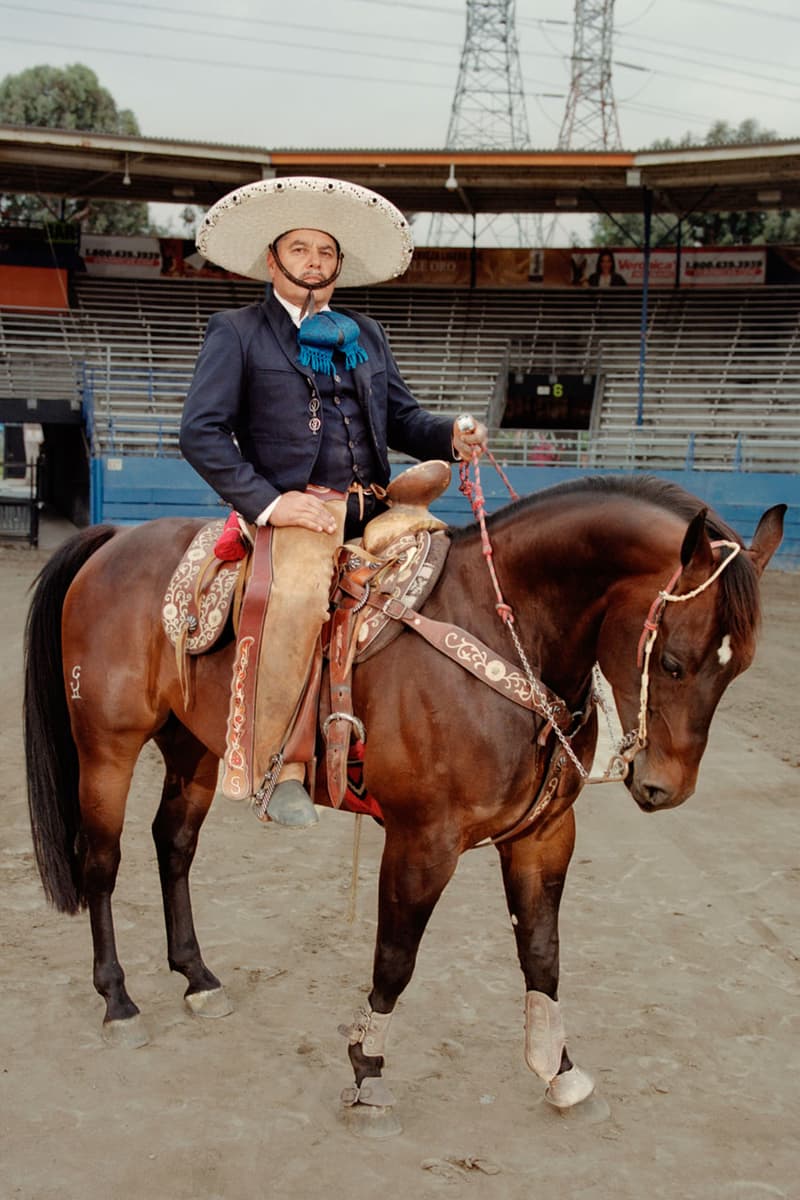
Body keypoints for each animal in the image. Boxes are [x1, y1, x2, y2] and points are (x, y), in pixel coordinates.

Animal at [23, 475, 782, 1123]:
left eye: (739, 666)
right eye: (674, 661)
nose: (663, 788)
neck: (507, 632)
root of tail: (115, 538)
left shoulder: (544, 836)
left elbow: (542, 952)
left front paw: (559, 1068)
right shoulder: (423, 841)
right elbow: (396, 958)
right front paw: (367, 1070)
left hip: (196, 749)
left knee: (173, 844)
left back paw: (197, 978)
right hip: (108, 748)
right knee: (101, 863)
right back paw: (118, 1000)